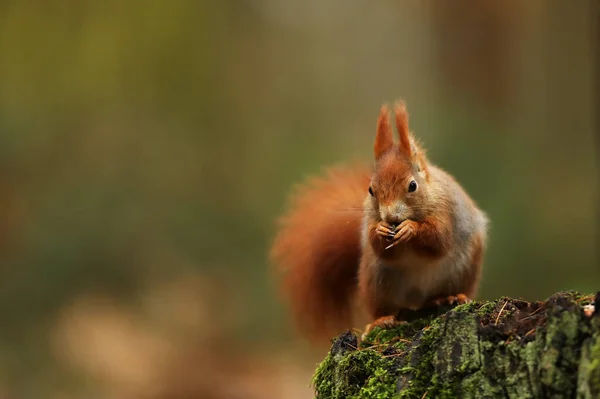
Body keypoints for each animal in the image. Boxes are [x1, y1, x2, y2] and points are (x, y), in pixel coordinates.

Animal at [270, 101, 490, 346]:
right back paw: (381, 320)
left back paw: (448, 297)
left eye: (412, 186)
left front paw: (411, 229)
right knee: (384, 308)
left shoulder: (447, 210)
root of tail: (417, 298)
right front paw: (381, 231)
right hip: (376, 282)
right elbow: (380, 247)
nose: (390, 217)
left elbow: (439, 240)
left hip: (463, 270)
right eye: (371, 190)